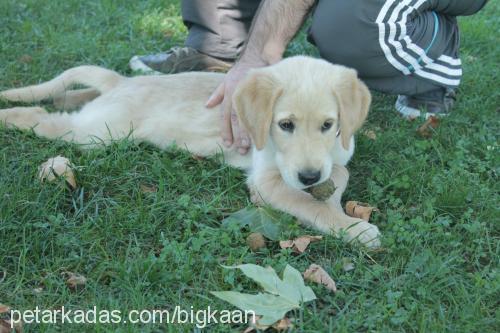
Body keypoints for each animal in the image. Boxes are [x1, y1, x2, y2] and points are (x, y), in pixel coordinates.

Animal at [0, 55, 380, 246]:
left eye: (328, 125)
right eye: (285, 125)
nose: (309, 176)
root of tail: (124, 82)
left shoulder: (336, 155)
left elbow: (341, 172)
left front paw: (333, 198)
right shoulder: (266, 182)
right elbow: (306, 203)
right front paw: (352, 228)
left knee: (68, 97)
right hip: (97, 133)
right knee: (42, 117)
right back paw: (10, 115)